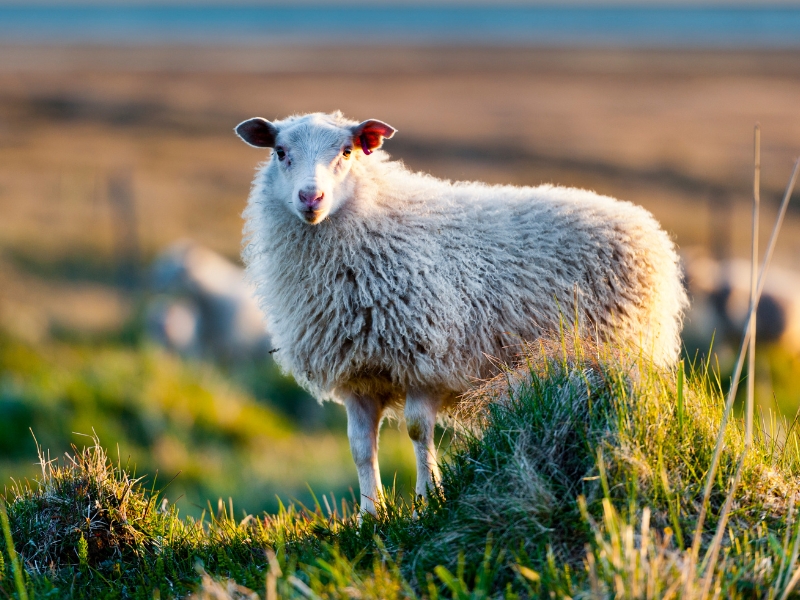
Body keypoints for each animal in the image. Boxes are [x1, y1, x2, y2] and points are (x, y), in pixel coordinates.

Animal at [233, 112, 688, 516]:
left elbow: (418, 431)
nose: (311, 198)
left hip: (621, 350)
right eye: (279, 152)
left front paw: (426, 502)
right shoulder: (358, 374)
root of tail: (644, 222)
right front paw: (369, 515)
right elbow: (361, 448)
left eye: (347, 151)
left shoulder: (426, 359)